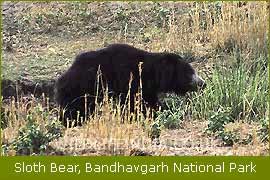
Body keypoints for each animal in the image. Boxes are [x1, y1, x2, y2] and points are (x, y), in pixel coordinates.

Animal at [56, 43, 206, 125]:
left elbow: (148, 101)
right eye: (189, 73)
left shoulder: (146, 87)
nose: (202, 84)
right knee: (75, 108)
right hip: (82, 88)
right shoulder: (128, 79)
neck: (150, 74)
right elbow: (134, 103)